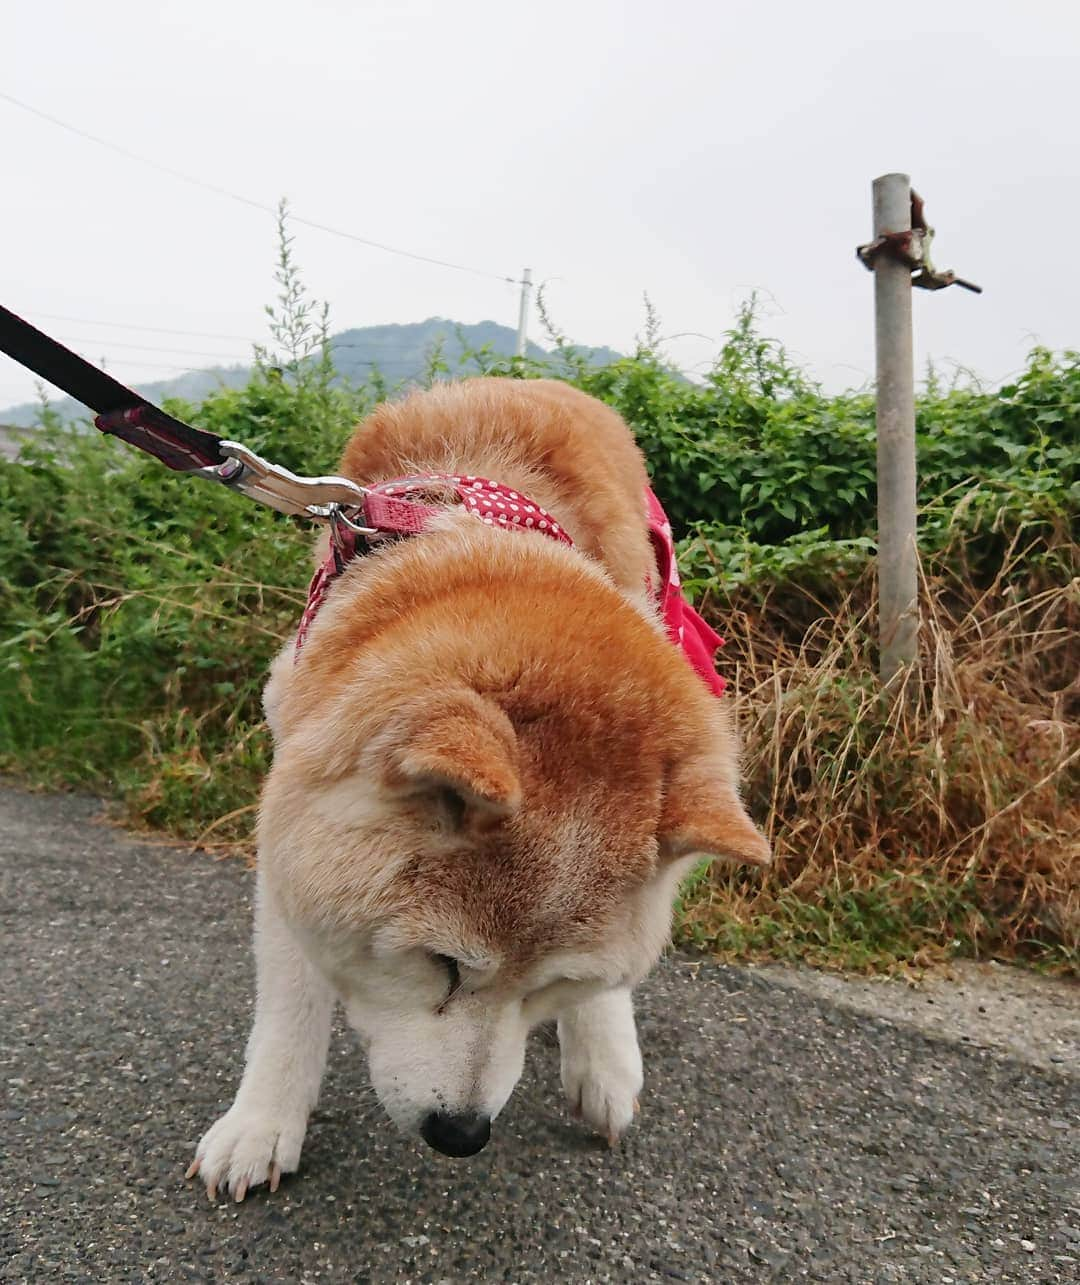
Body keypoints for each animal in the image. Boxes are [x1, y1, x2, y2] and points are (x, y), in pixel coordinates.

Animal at [187, 375, 766, 1197]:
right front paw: (262, 1125)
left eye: (551, 986)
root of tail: (530, 379)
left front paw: (599, 1048)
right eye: (444, 964)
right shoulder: (295, 783)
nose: (460, 1134)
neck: (483, 540)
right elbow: (292, 996)